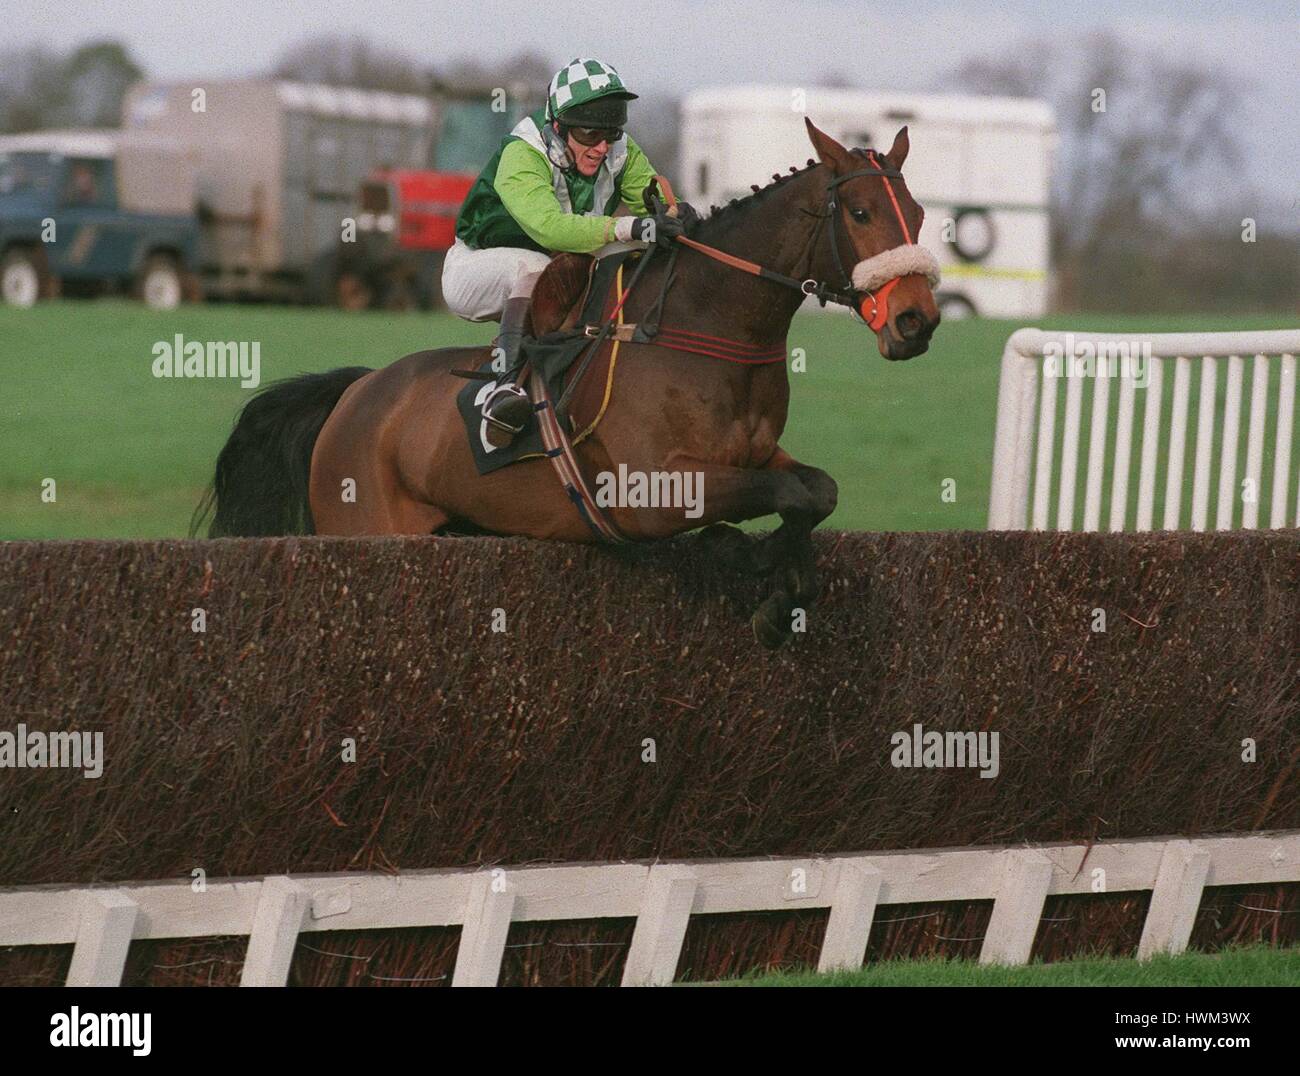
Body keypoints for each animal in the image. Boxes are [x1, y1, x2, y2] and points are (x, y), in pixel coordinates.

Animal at [192, 126, 941, 647]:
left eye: (919, 214)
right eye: (862, 214)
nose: (918, 320)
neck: (703, 328)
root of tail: (357, 392)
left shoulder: (754, 456)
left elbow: (815, 489)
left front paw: (774, 579)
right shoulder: (648, 490)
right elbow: (789, 495)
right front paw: (748, 563)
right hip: (367, 529)